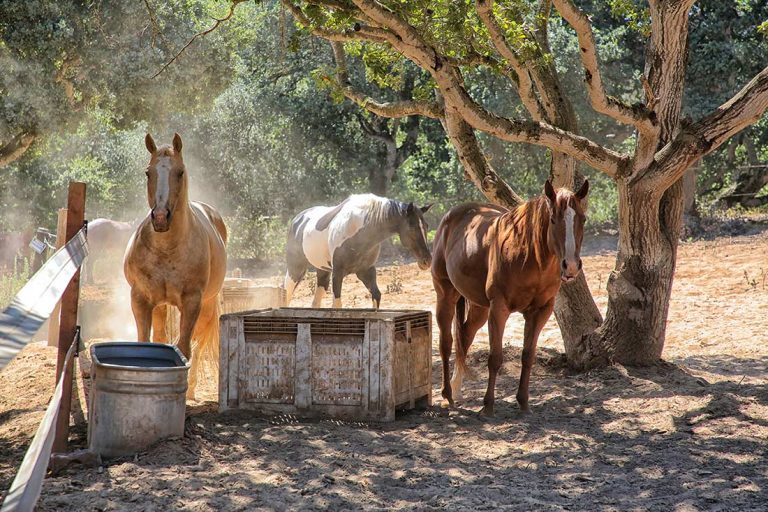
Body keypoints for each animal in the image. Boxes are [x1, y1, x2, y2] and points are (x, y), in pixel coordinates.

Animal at [123, 133, 227, 399]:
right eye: (148, 172)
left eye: (180, 172)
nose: (160, 217)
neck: (167, 249)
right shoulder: (140, 299)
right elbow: (145, 342)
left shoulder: (192, 302)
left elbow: (184, 348)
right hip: (160, 306)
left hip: (206, 307)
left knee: (198, 345)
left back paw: (191, 389)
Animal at [284, 194, 433, 309]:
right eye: (412, 227)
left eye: (426, 226)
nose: (427, 261)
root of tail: (297, 220)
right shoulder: (337, 273)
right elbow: (337, 305)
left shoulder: (366, 271)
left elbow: (376, 296)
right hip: (296, 269)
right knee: (286, 293)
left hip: (322, 271)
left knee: (315, 303)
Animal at [431, 179, 589, 416]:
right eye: (553, 219)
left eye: (583, 219)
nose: (570, 266)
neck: (530, 256)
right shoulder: (499, 309)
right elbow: (495, 358)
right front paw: (488, 405)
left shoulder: (540, 312)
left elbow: (528, 356)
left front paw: (523, 403)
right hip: (446, 295)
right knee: (446, 343)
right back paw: (448, 395)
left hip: (479, 307)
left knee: (465, 337)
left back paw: (456, 389)